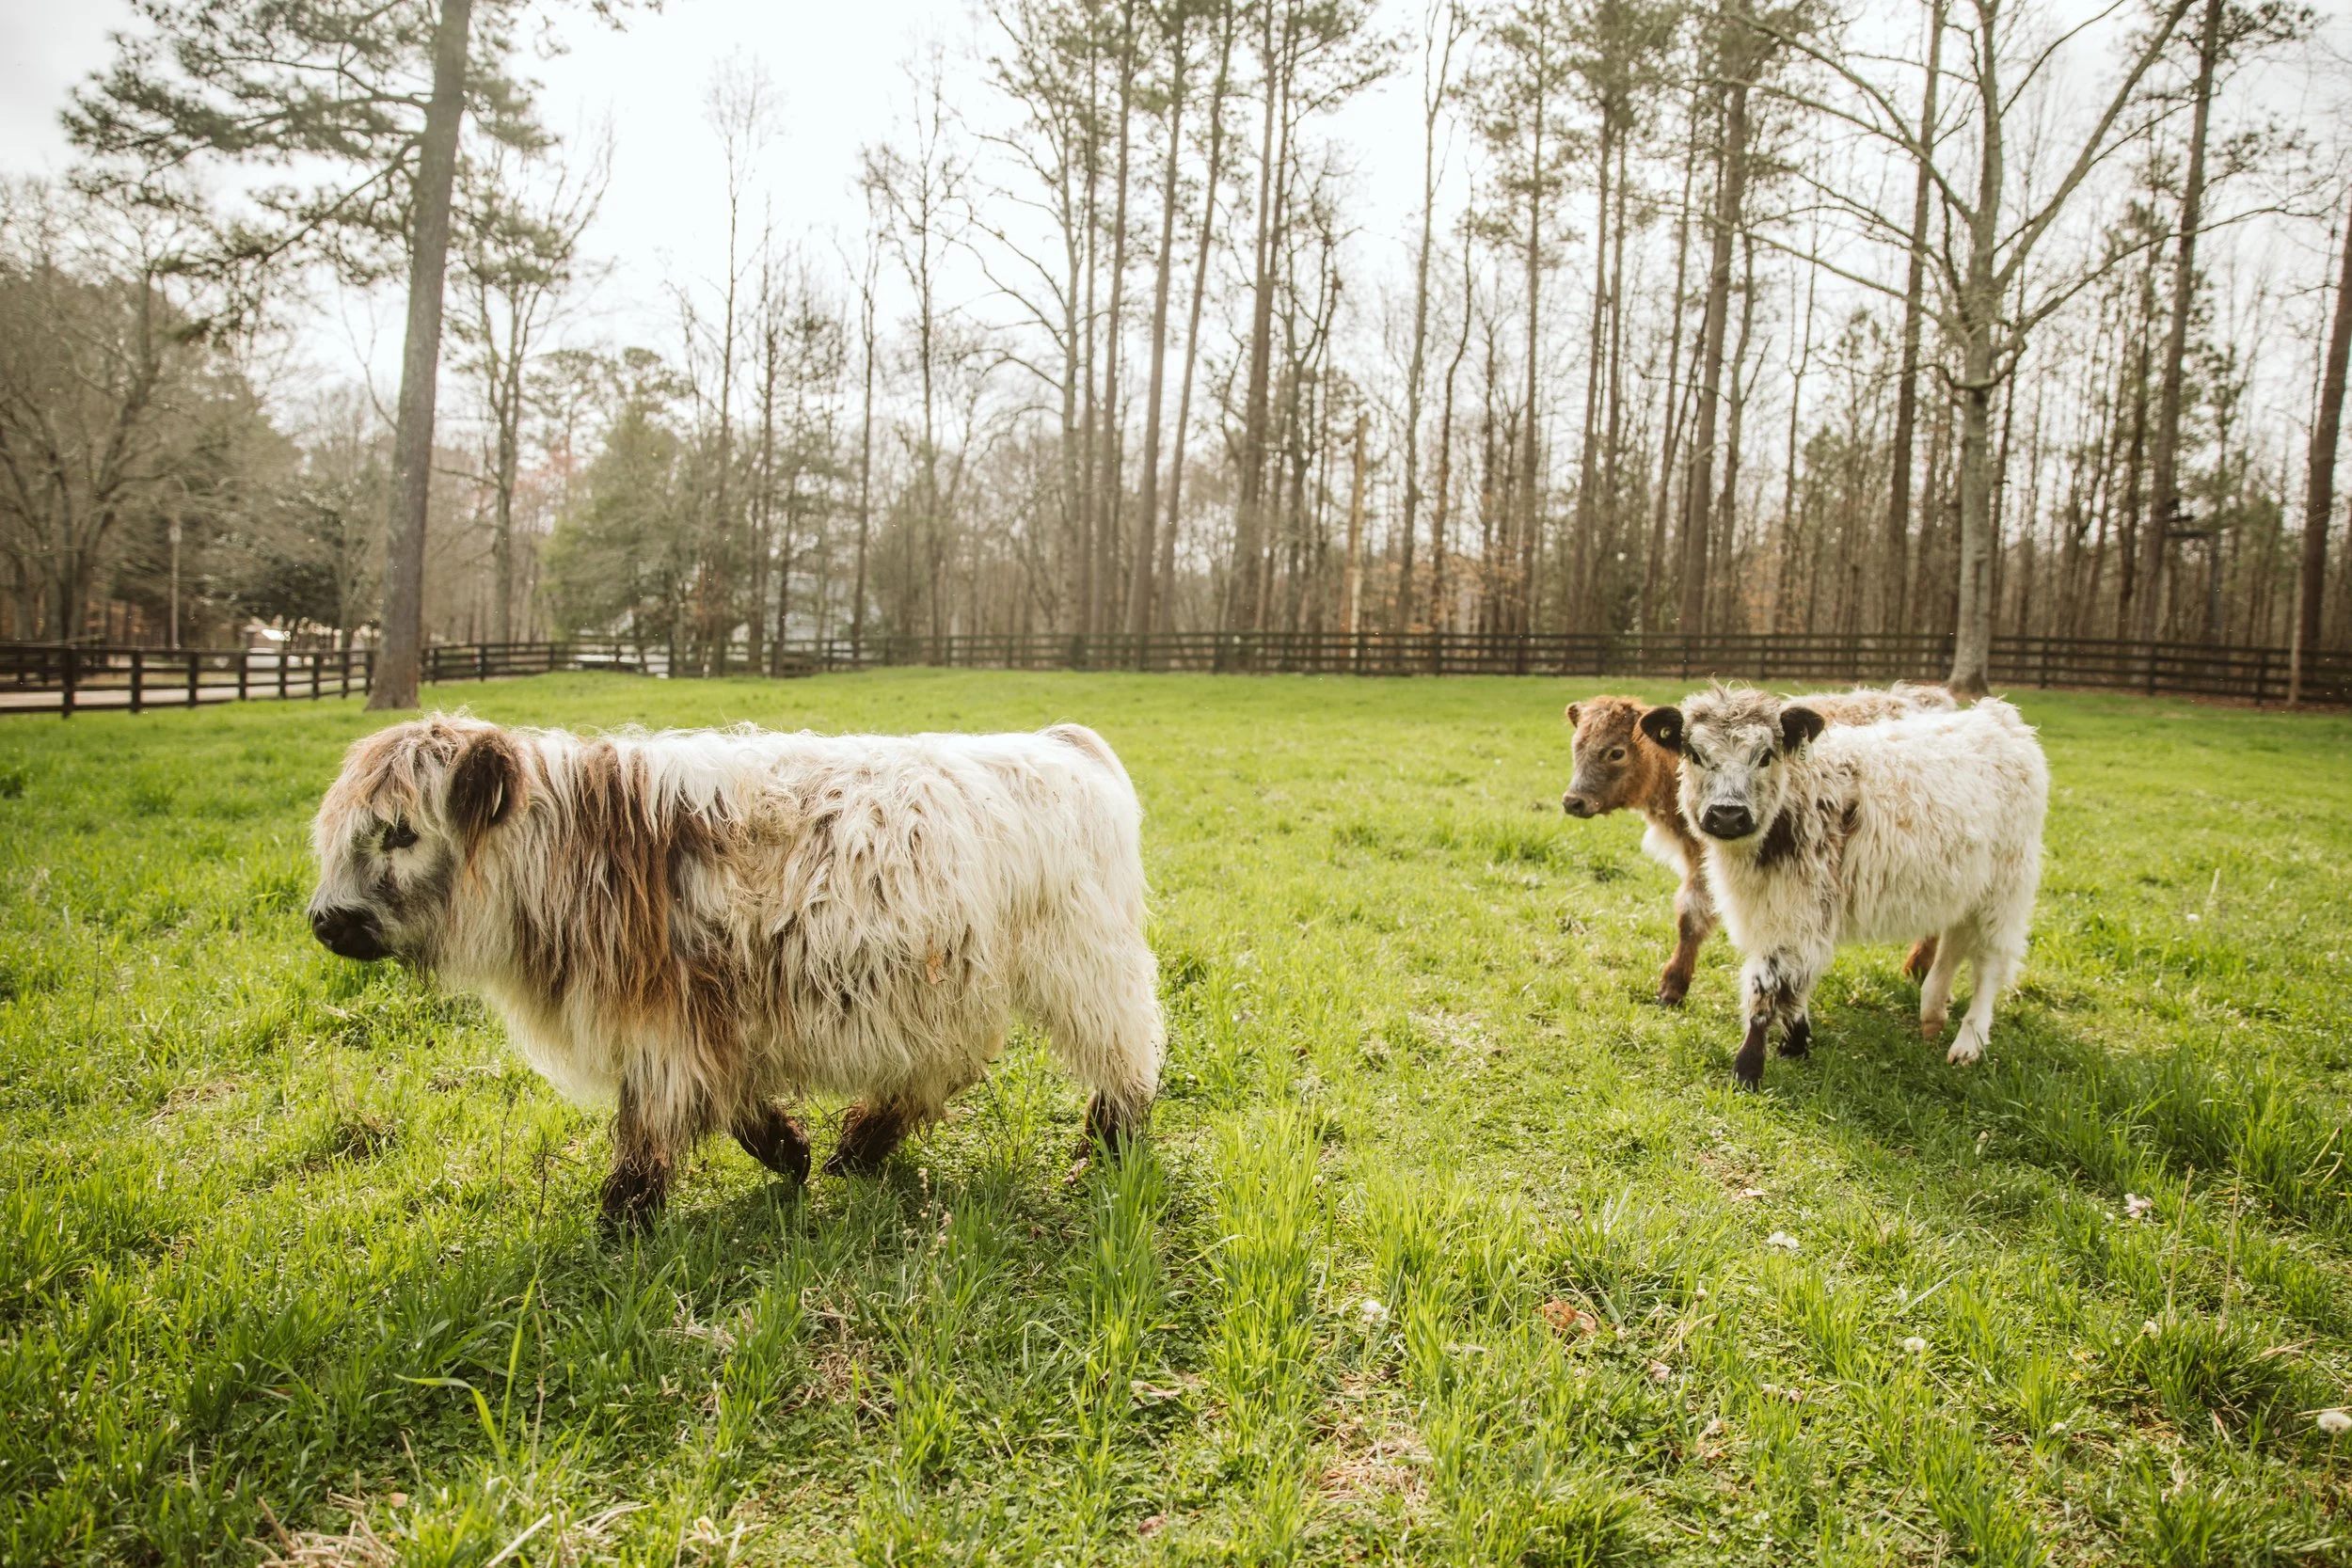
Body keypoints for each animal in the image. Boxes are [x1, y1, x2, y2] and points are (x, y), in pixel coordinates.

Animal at [307, 715, 1164, 1227]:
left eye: (398, 832)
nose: (323, 919)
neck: (576, 855)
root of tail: (1060, 742)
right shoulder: (704, 1020)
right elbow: (731, 1102)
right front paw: (791, 1153)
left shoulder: (662, 1023)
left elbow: (651, 1123)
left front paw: (619, 1222)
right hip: (947, 986)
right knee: (935, 1069)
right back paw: (857, 1148)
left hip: (1084, 963)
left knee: (1129, 1052)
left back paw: (1104, 1146)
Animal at [1562, 684, 1953, 1004]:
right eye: (1576, 747)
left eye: (1615, 752)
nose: (1572, 801)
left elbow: (1693, 916)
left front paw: (1673, 985)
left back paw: (1919, 968)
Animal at [1635, 685, 2047, 1088]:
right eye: (1694, 753)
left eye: (1765, 756)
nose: (1727, 815)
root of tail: (1999, 717)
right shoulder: (1774, 909)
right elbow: (1796, 978)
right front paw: (1795, 1043)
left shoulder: (1800, 907)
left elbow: (1769, 982)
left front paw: (1748, 1069)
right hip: (1962, 886)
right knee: (1954, 942)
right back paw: (1932, 1012)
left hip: (2005, 888)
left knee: (1988, 963)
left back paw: (1968, 1042)